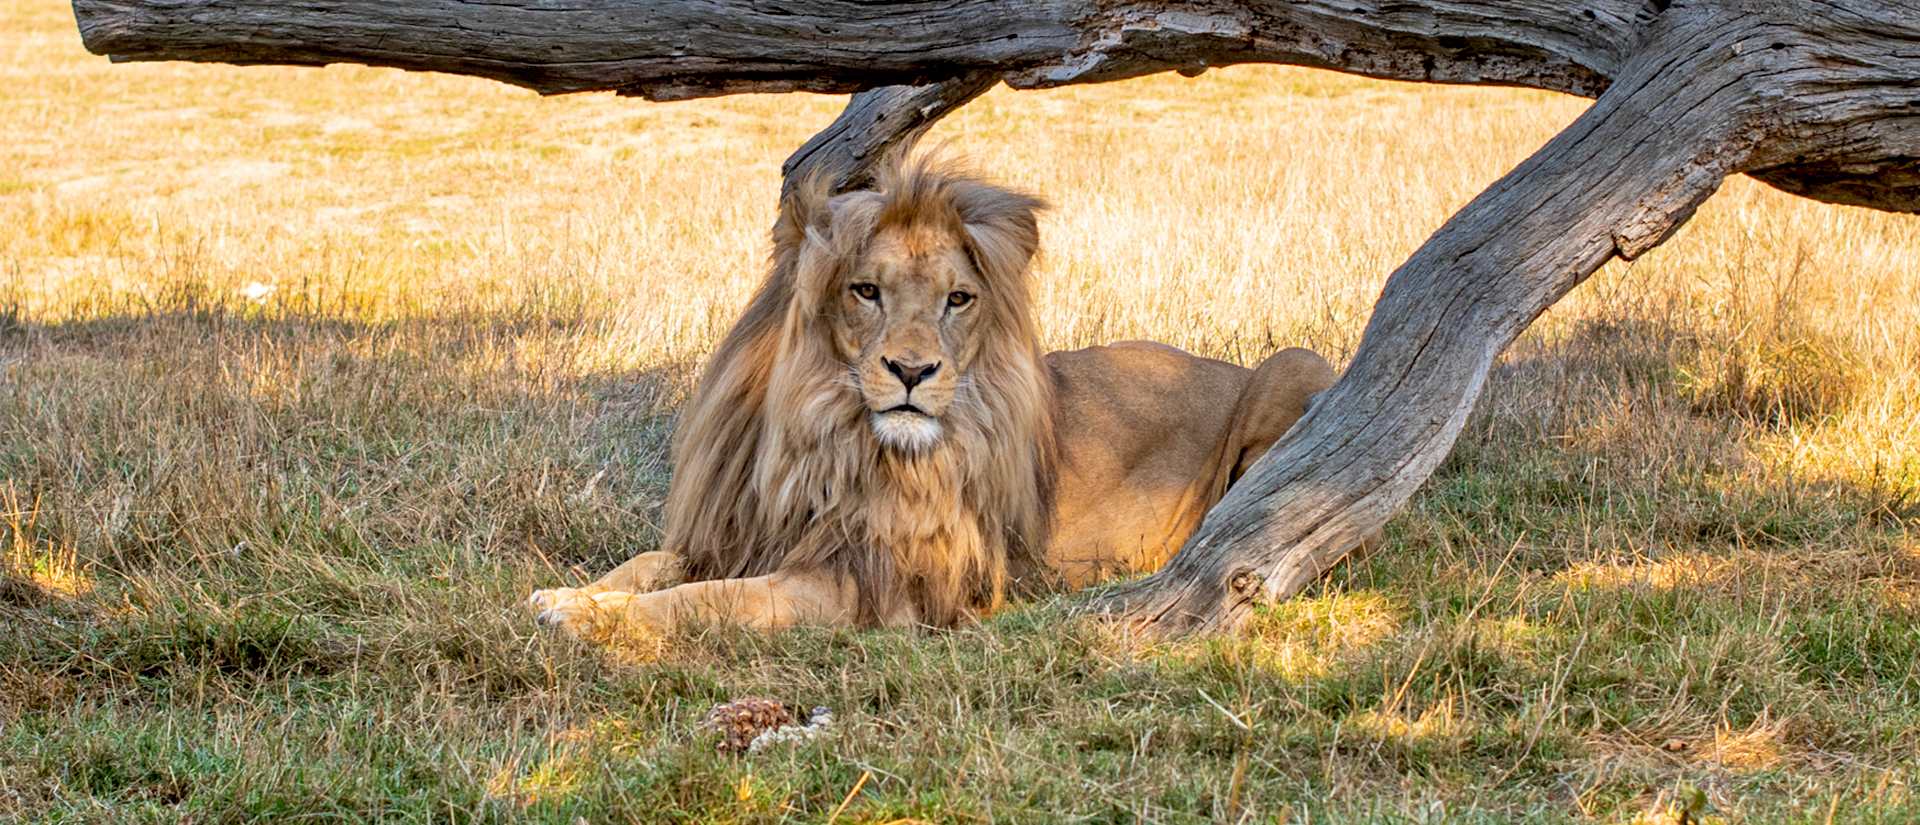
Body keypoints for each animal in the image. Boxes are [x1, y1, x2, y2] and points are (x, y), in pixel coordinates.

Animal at [526, 154, 1336, 636]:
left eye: (958, 299)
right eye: (865, 290)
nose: (913, 371)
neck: (819, 435)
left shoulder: (868, 587)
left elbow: (709, 598)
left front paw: (592, 620)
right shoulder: (741, 531)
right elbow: (651, 563)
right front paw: (567, 594)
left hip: (1295, 366)